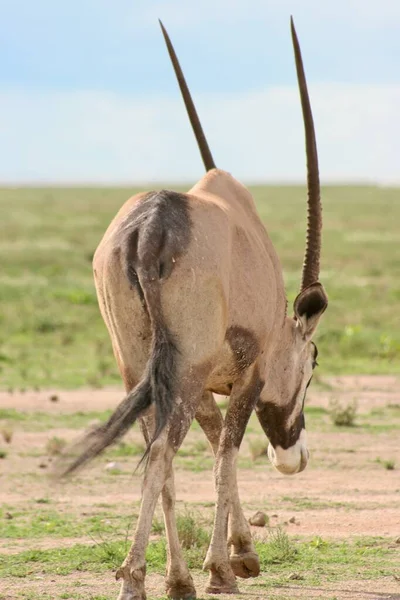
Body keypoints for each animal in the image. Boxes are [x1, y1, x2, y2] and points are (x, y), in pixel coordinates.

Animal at [58, 17, 328, 600]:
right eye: (313, 361)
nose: (293, 457)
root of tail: (150, 228)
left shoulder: (202, 383)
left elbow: (209, 443)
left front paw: (233, 555)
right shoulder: (246, 375)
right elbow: (225, 453)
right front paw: (227, 566)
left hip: (140, 369)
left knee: (158, 455)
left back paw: (174, 579)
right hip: (177, 370)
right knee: (163, 451)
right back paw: (137, 577)